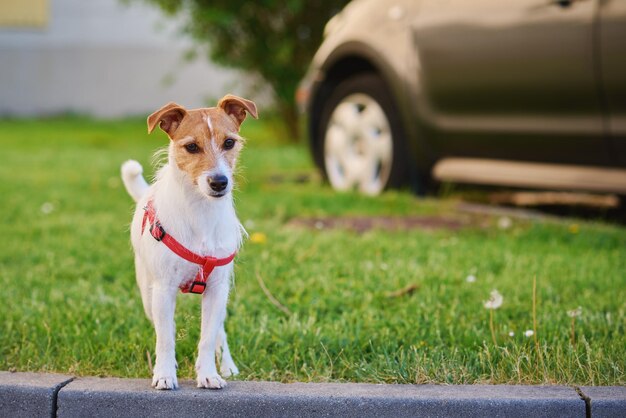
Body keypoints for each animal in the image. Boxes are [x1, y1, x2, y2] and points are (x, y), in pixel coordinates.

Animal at [119, 94, 256, 388]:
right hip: (147, 294)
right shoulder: (162, 290)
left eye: (229, 143)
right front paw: (164, 374)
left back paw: (227, 365)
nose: (219, 182)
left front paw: (208, 374)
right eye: (191, 147)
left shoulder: (217, 290)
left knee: (219, 331)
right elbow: (165, 339)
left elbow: (207, 338)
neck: (200, 212)